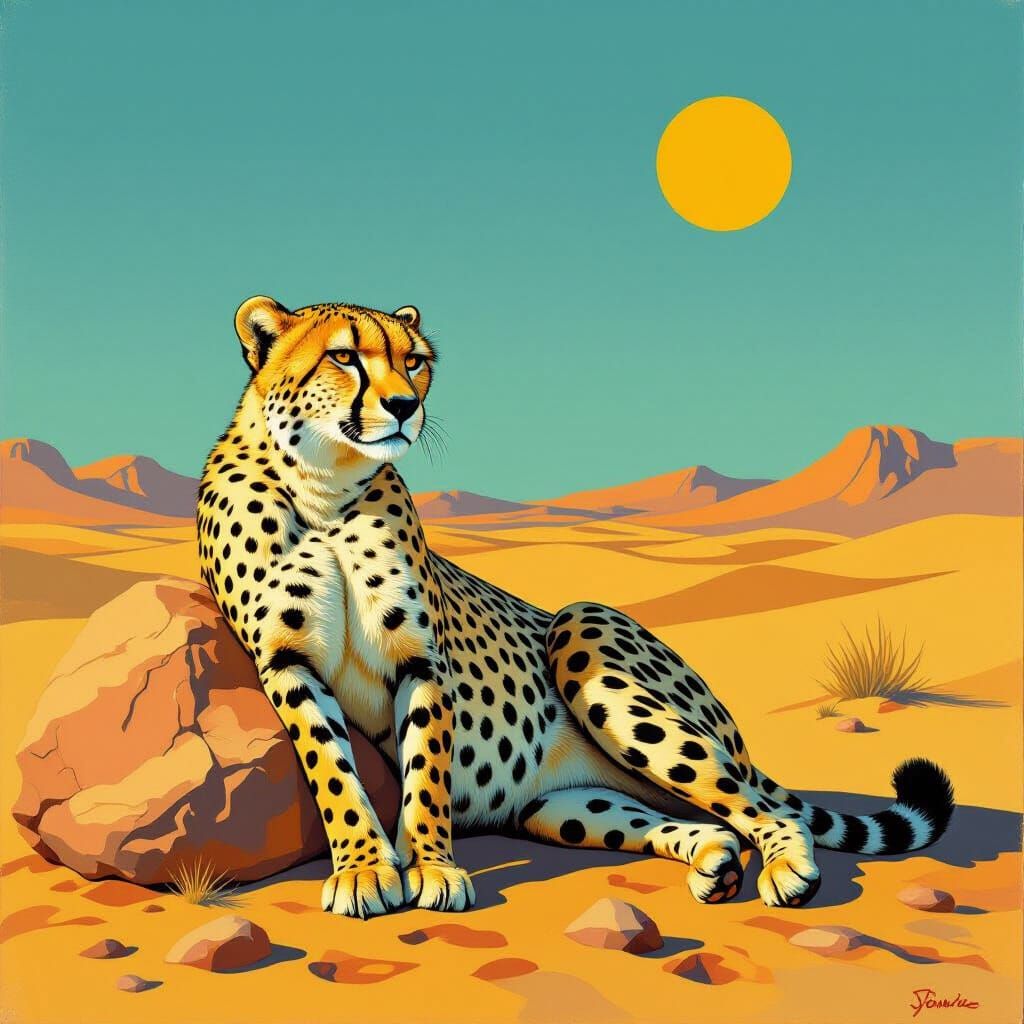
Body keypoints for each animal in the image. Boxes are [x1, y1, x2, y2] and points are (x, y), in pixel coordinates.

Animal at [197, 294, 954, 919]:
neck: (326, 486)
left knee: (764, 805)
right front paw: (363, 870)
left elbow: (428, 769)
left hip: (585, 634)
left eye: (414, 362)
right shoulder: (287, 663)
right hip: (561, 805)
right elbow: (331, 771)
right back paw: (715, 863)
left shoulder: (420, 659)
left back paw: (787, 869)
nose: (405, 406)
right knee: (703, 821)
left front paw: (433, 867)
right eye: (344, 356)